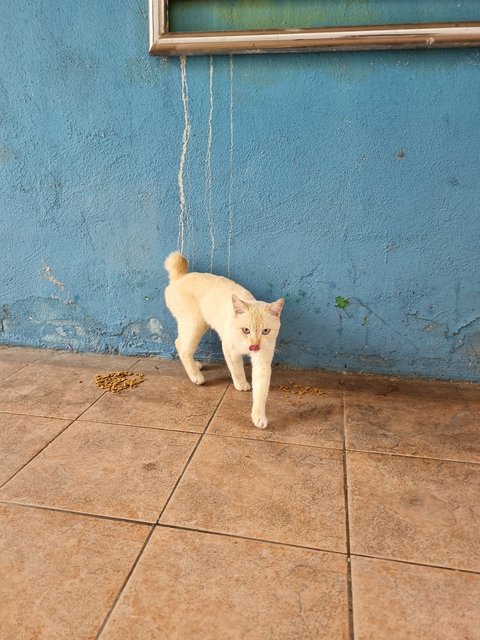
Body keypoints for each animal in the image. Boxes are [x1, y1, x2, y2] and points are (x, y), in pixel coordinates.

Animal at [165, 251, 284, 430]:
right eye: (246, 330)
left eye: (265, 331)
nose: (254, 346)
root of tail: (181, 276)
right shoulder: (229, 349)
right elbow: (236, 369)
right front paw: (241, 384)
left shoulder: (262, 361)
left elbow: (261, 390)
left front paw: (258, 417)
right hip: (195, 324)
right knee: (181, 345)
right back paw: (196, 376)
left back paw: (196, 365)